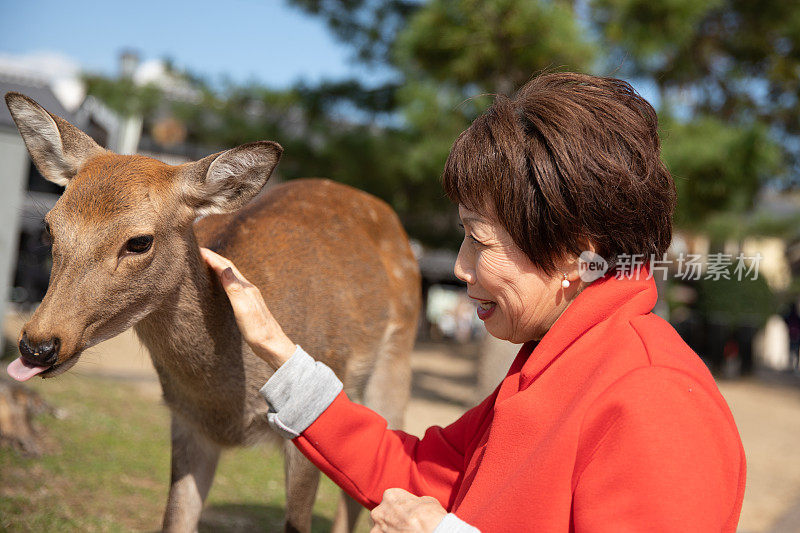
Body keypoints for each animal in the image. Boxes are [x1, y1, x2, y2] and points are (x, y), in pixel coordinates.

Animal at [3, 92, 422, 532]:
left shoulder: (309, 421)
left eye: (139, 241)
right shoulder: (187, 421)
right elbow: (176, 518)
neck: (225, 404)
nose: (37, 346)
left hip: (395, 363)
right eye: (50, 227)